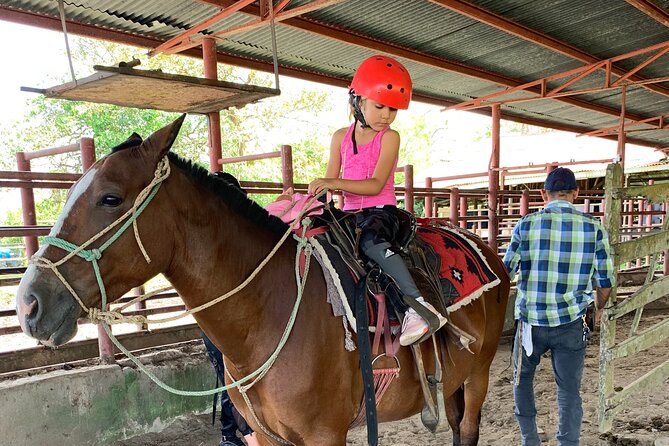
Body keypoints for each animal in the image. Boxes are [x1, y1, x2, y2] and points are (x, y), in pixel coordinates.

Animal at [14, 117, 506, 446]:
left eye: (110, 198)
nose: (28, 305)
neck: (267, 314)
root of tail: (484, 251)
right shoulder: (268, 435)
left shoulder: (326, 435)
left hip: (480, 373)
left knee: (468, 429)